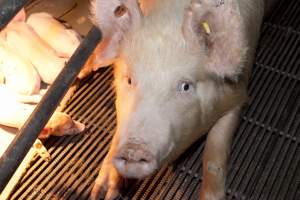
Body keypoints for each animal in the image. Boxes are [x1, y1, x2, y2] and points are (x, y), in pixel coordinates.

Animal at [84, 0, 276, 200]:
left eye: (185, 86)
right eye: (129, 80)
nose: (133, 149)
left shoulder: (237, 94)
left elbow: (214, 153)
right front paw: (102, 193)